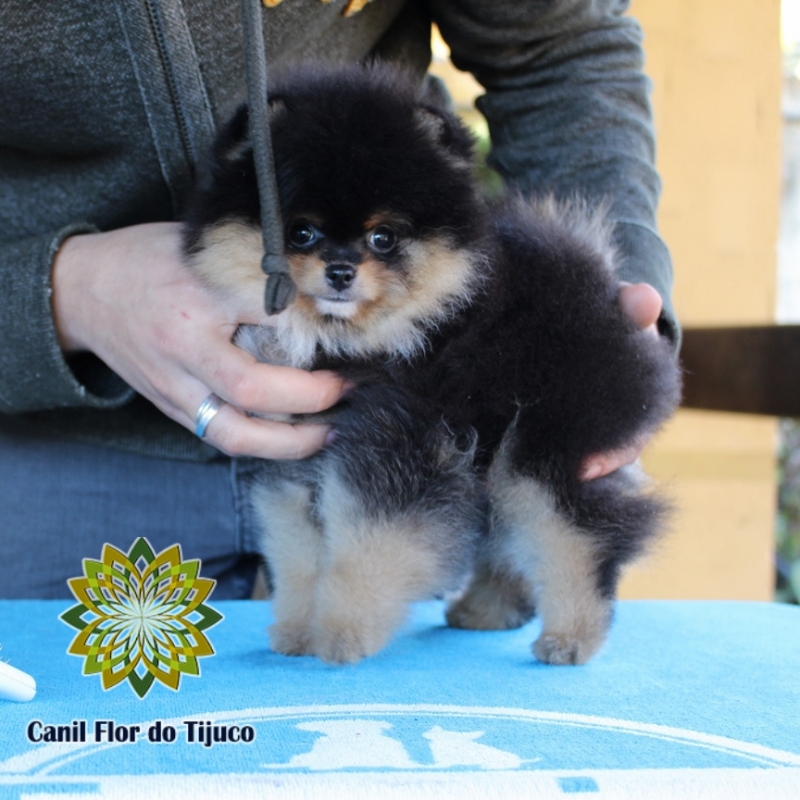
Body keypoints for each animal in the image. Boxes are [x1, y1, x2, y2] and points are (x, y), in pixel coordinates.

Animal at [183, 62, 680, 664]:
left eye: (384, 236)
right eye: (301, 231)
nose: (341, 270)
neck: (351, 343)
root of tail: (594, 279)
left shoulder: (401, 448)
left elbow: (363, 547)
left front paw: (342, 635)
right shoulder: (293, 460)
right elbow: (299, 549)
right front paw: (298, 632)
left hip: (545, 443)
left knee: (575, 534)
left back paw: (570, 636)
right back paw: (488, 611)